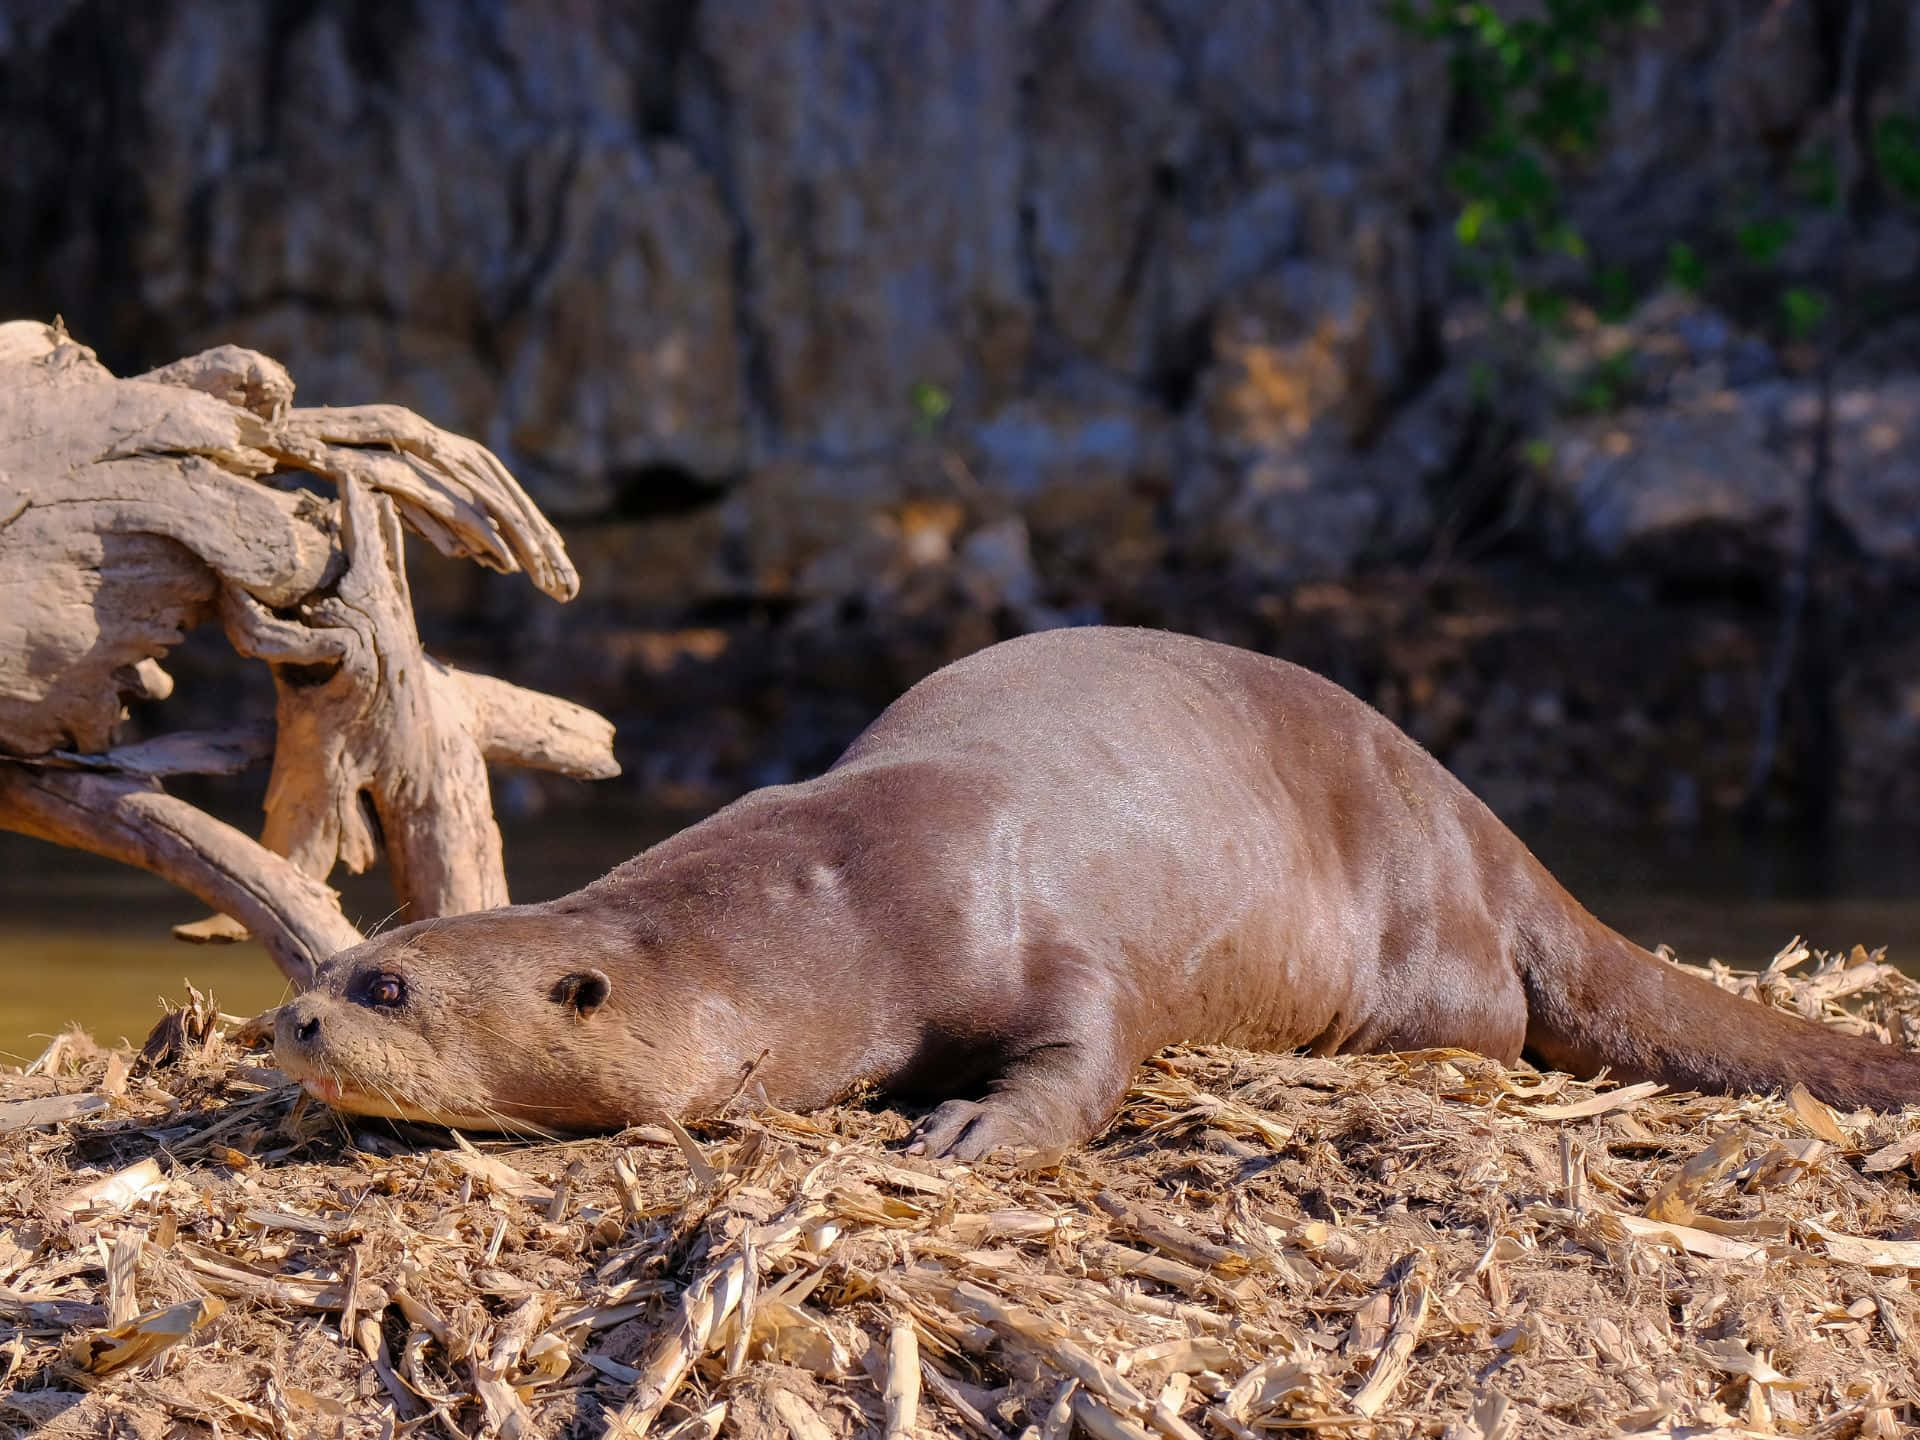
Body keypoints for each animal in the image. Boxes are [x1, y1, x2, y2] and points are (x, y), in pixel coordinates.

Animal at [275, 626, 1920, 1157]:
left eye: (388, 986)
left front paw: (966, 1130)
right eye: (343, 962)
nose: (290, 1027)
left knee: (1500, 1021)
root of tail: (1478, 819)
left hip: (1418, 936)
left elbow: (1089, 1053)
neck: (826, 910)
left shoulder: (1030, 925)